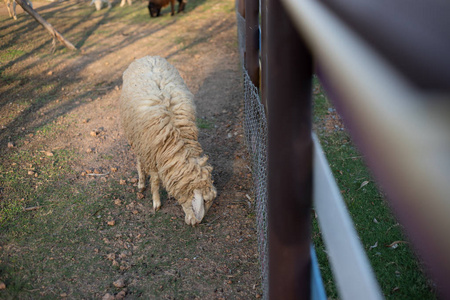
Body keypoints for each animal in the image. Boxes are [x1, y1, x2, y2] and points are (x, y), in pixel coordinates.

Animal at [119, 55, 218, 225]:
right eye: (204, 201)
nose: (195, 223)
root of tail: (147, 57)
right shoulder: (151, 151)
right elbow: (155, 179)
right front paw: (156, 202)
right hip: (135, 136)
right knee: (138, 159)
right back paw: (141, 183)